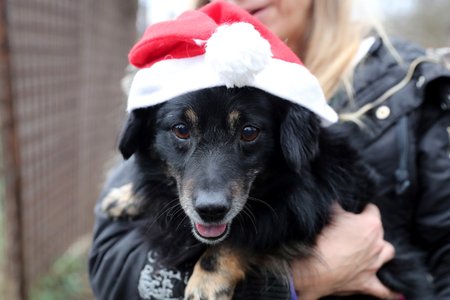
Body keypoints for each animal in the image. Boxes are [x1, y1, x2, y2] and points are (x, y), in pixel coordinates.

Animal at [118, 85, 434, 298]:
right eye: (181, 129)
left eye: (249, 132)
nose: (211, 210)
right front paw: (124, 197)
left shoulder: (302, 212)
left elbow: (246, 236)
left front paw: (206, 282)